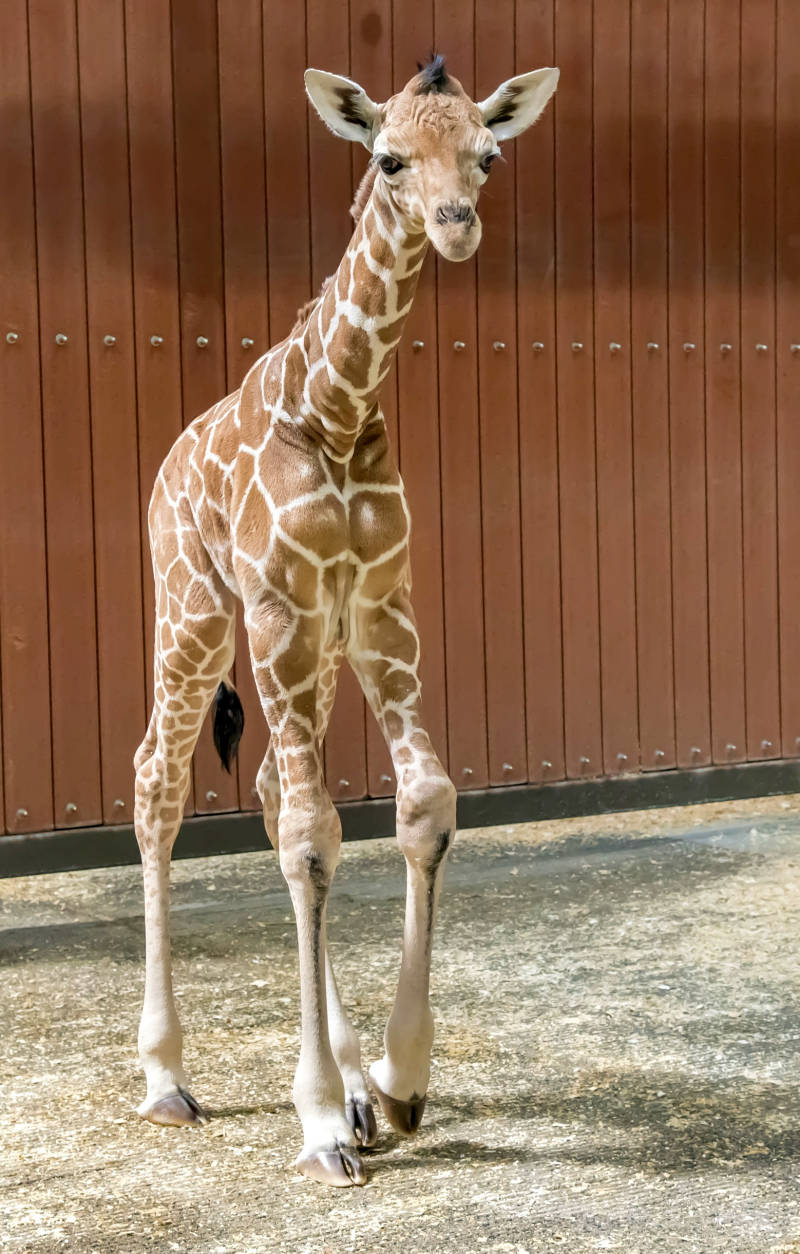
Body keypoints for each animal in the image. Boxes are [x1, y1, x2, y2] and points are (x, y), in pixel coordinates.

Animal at [133, 54, 559, 1188]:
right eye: (388, 157)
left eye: (488, 156)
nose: (456, 225)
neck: (335, 410)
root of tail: (164, 466)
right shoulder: (280, 606)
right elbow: (316, 836)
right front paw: (322, 1118)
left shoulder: (376, 606)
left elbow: (419, 803)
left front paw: (395, 1080)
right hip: (194, 616)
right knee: (160, 784)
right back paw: (165, 1076)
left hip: (309, 655)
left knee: (273, 797)